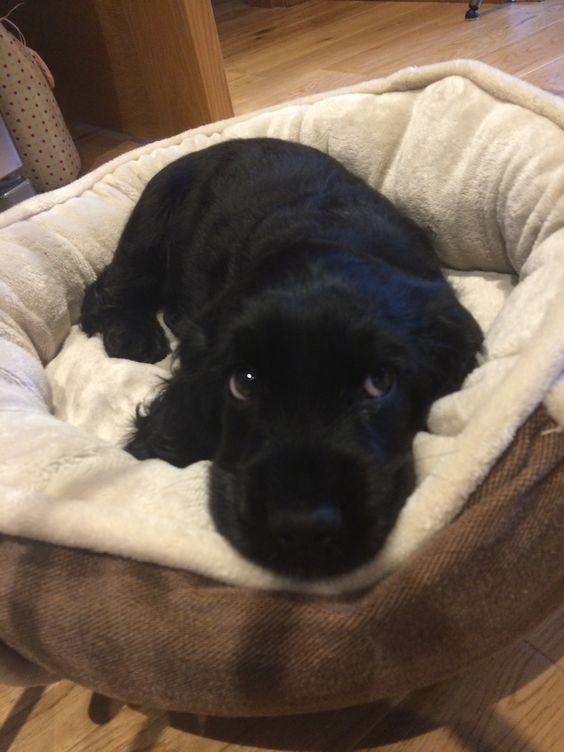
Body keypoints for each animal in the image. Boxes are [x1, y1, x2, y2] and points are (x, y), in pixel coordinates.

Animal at [81, 138, 482, 580]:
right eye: (244, 382)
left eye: (380, 382)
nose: (304, 529)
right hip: (149, 227)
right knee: (116, 284)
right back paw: (133, 336)